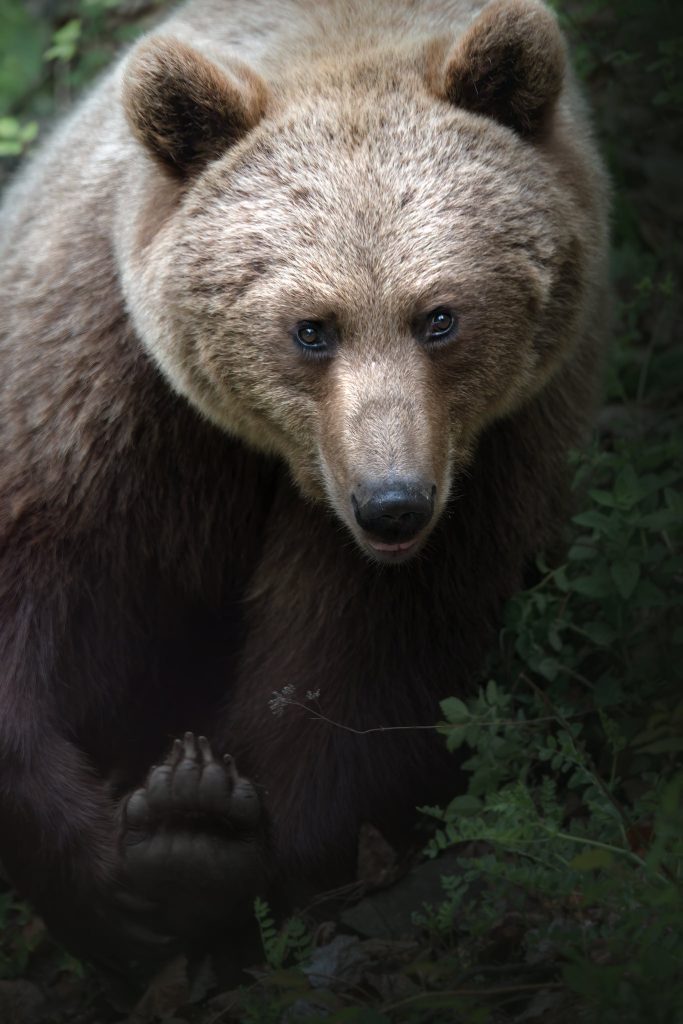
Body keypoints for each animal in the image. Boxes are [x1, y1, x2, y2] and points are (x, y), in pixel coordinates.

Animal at [0, 0, 608, 981]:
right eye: (309, 328)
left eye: (440, 317)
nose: (392, 502)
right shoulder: (98, 394)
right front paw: (133, 866)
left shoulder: (490, 461)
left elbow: (359, 665)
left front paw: (212, 836)